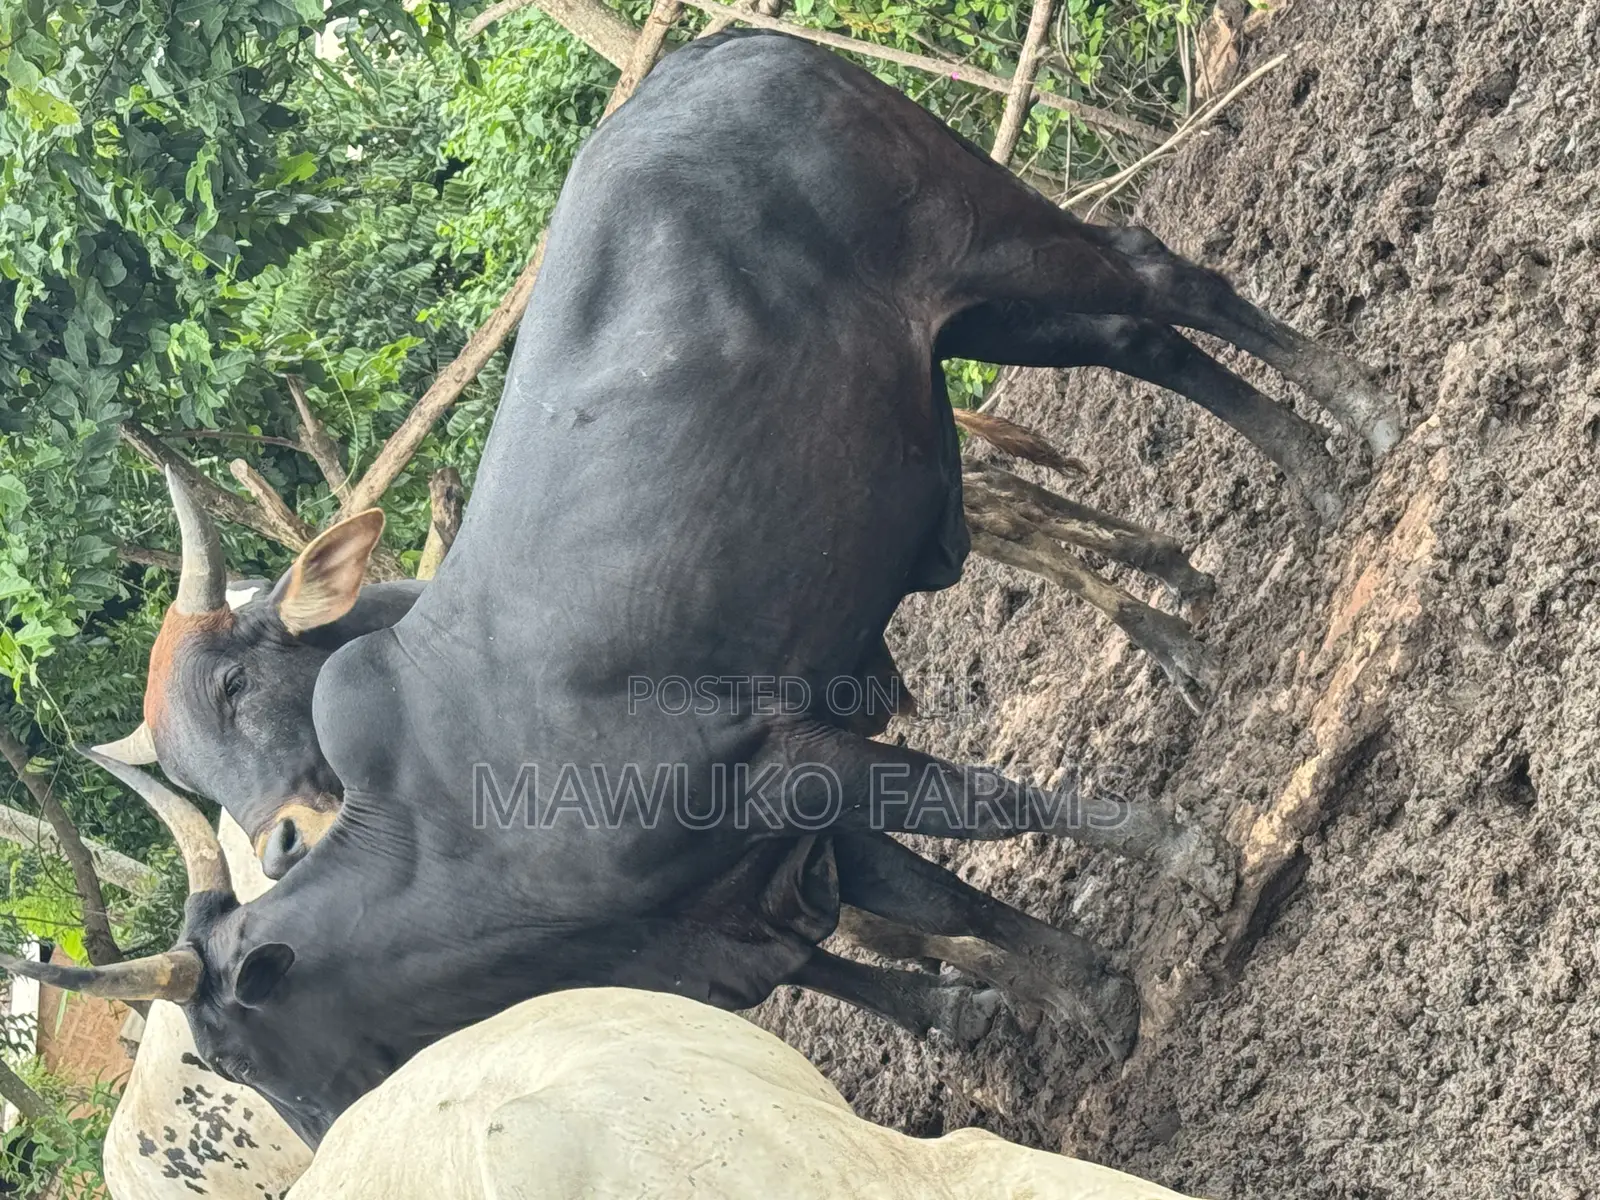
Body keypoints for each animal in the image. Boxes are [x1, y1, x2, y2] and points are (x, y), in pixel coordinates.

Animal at [4, 32, 1395, 1147]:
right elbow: (937, 898)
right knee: (1139, 339)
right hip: (977, 318)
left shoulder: (788, 768)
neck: (461, 838)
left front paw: (1191, 859)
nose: (319, 1133)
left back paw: (1361, 419)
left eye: (233, 1056)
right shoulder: (773, 854)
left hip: (994, 236)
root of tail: (712, 50)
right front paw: (1085, 996)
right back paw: (1313, 477)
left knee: (1162, 279)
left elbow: (990, 810)